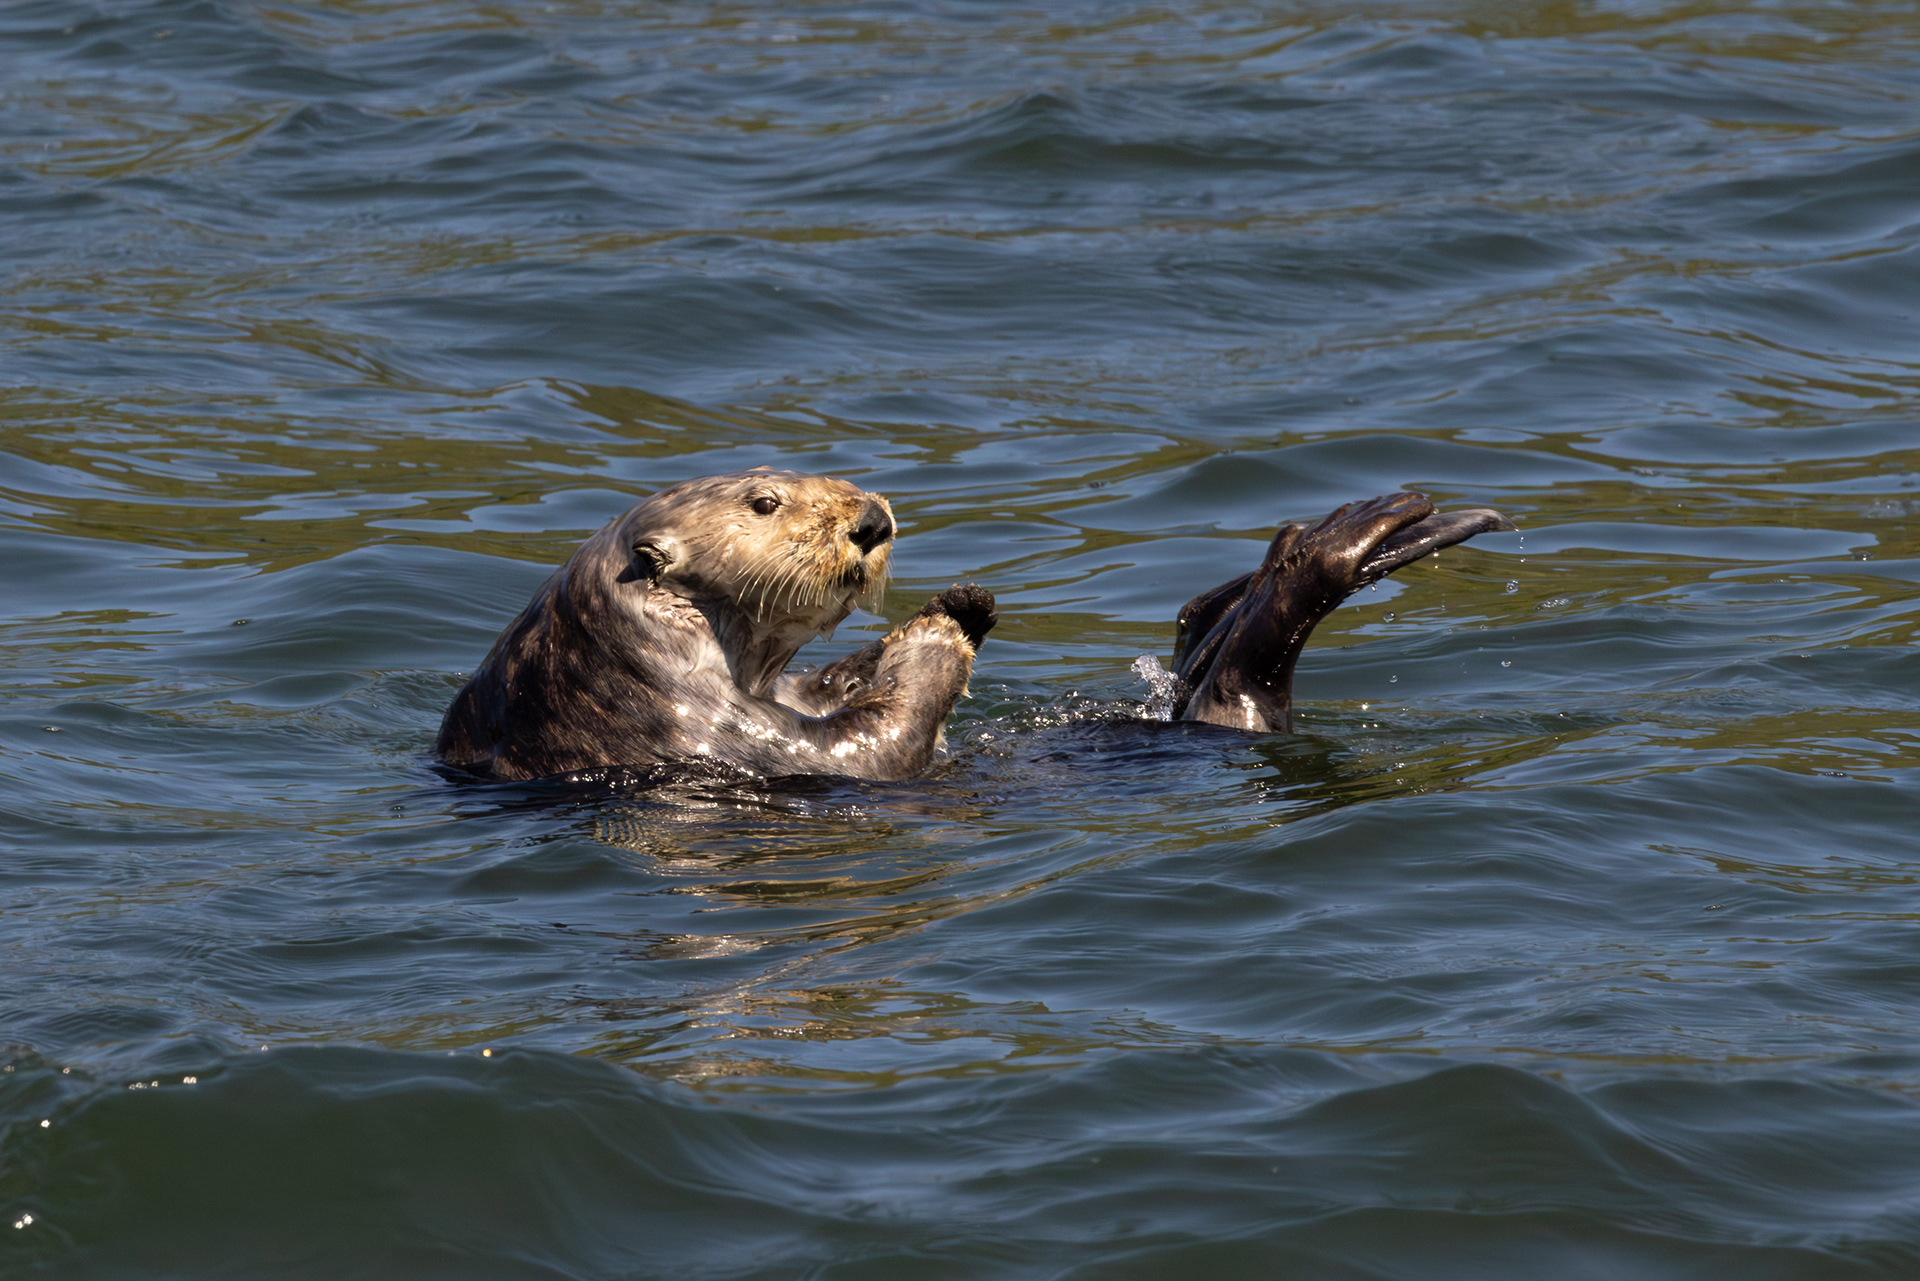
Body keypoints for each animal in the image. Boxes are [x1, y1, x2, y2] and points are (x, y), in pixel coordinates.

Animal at [436, 469, 1511, 782]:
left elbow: (831, 691)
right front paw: (946, 628)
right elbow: (862, 747)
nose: (873, 519)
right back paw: (1349, 537)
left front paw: (958, 603)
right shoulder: (690, 725)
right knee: (1252, 669)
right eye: (764, 502)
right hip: (1244, 699)